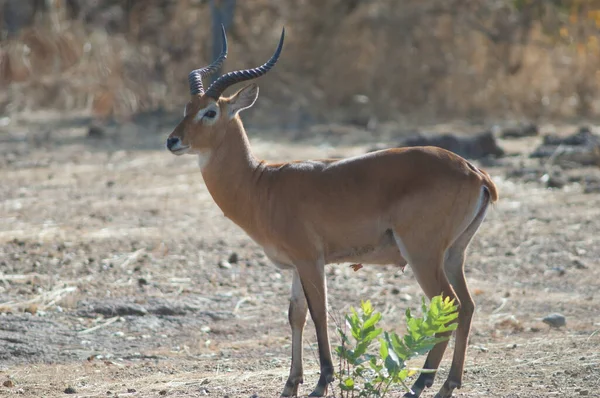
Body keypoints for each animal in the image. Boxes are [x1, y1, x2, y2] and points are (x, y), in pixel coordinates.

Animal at [165, 26, 496, 396]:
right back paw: (448, 383)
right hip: (453, 255)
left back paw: (419, 384)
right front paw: (291, 383)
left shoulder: (311, 260)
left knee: (450, 305)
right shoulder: (296, 265)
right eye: (187, 106)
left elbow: (319, 313)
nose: (172, 141)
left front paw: (322, 381)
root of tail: (474, 172)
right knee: (467, 306)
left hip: (422, 255)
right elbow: (295, 315)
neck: (262, 183)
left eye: (210, 112)